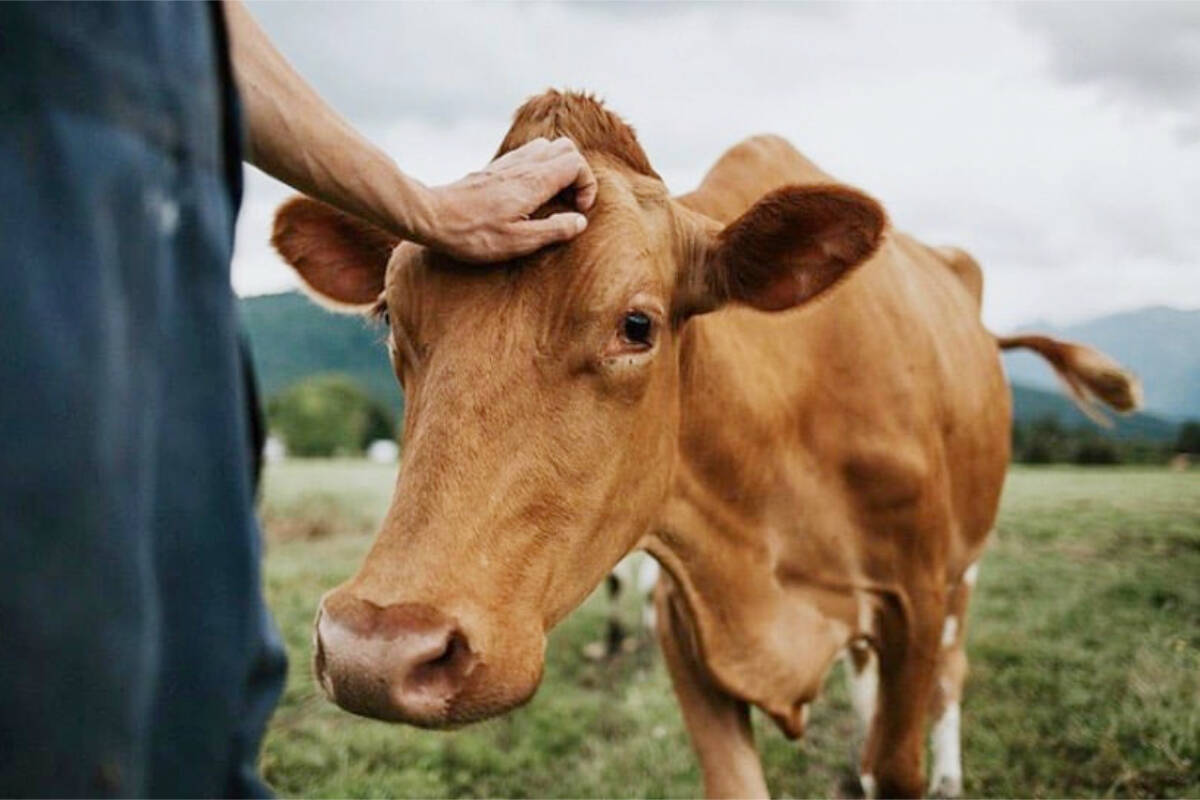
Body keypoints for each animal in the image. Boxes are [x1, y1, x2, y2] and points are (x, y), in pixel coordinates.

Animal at [267, 90, 1137, 796]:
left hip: (965, 567)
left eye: (637, 325)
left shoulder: (913, 600)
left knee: (951, 678)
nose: (375, 651)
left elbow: (900, 761)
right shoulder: (684, 625)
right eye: (389, 317)